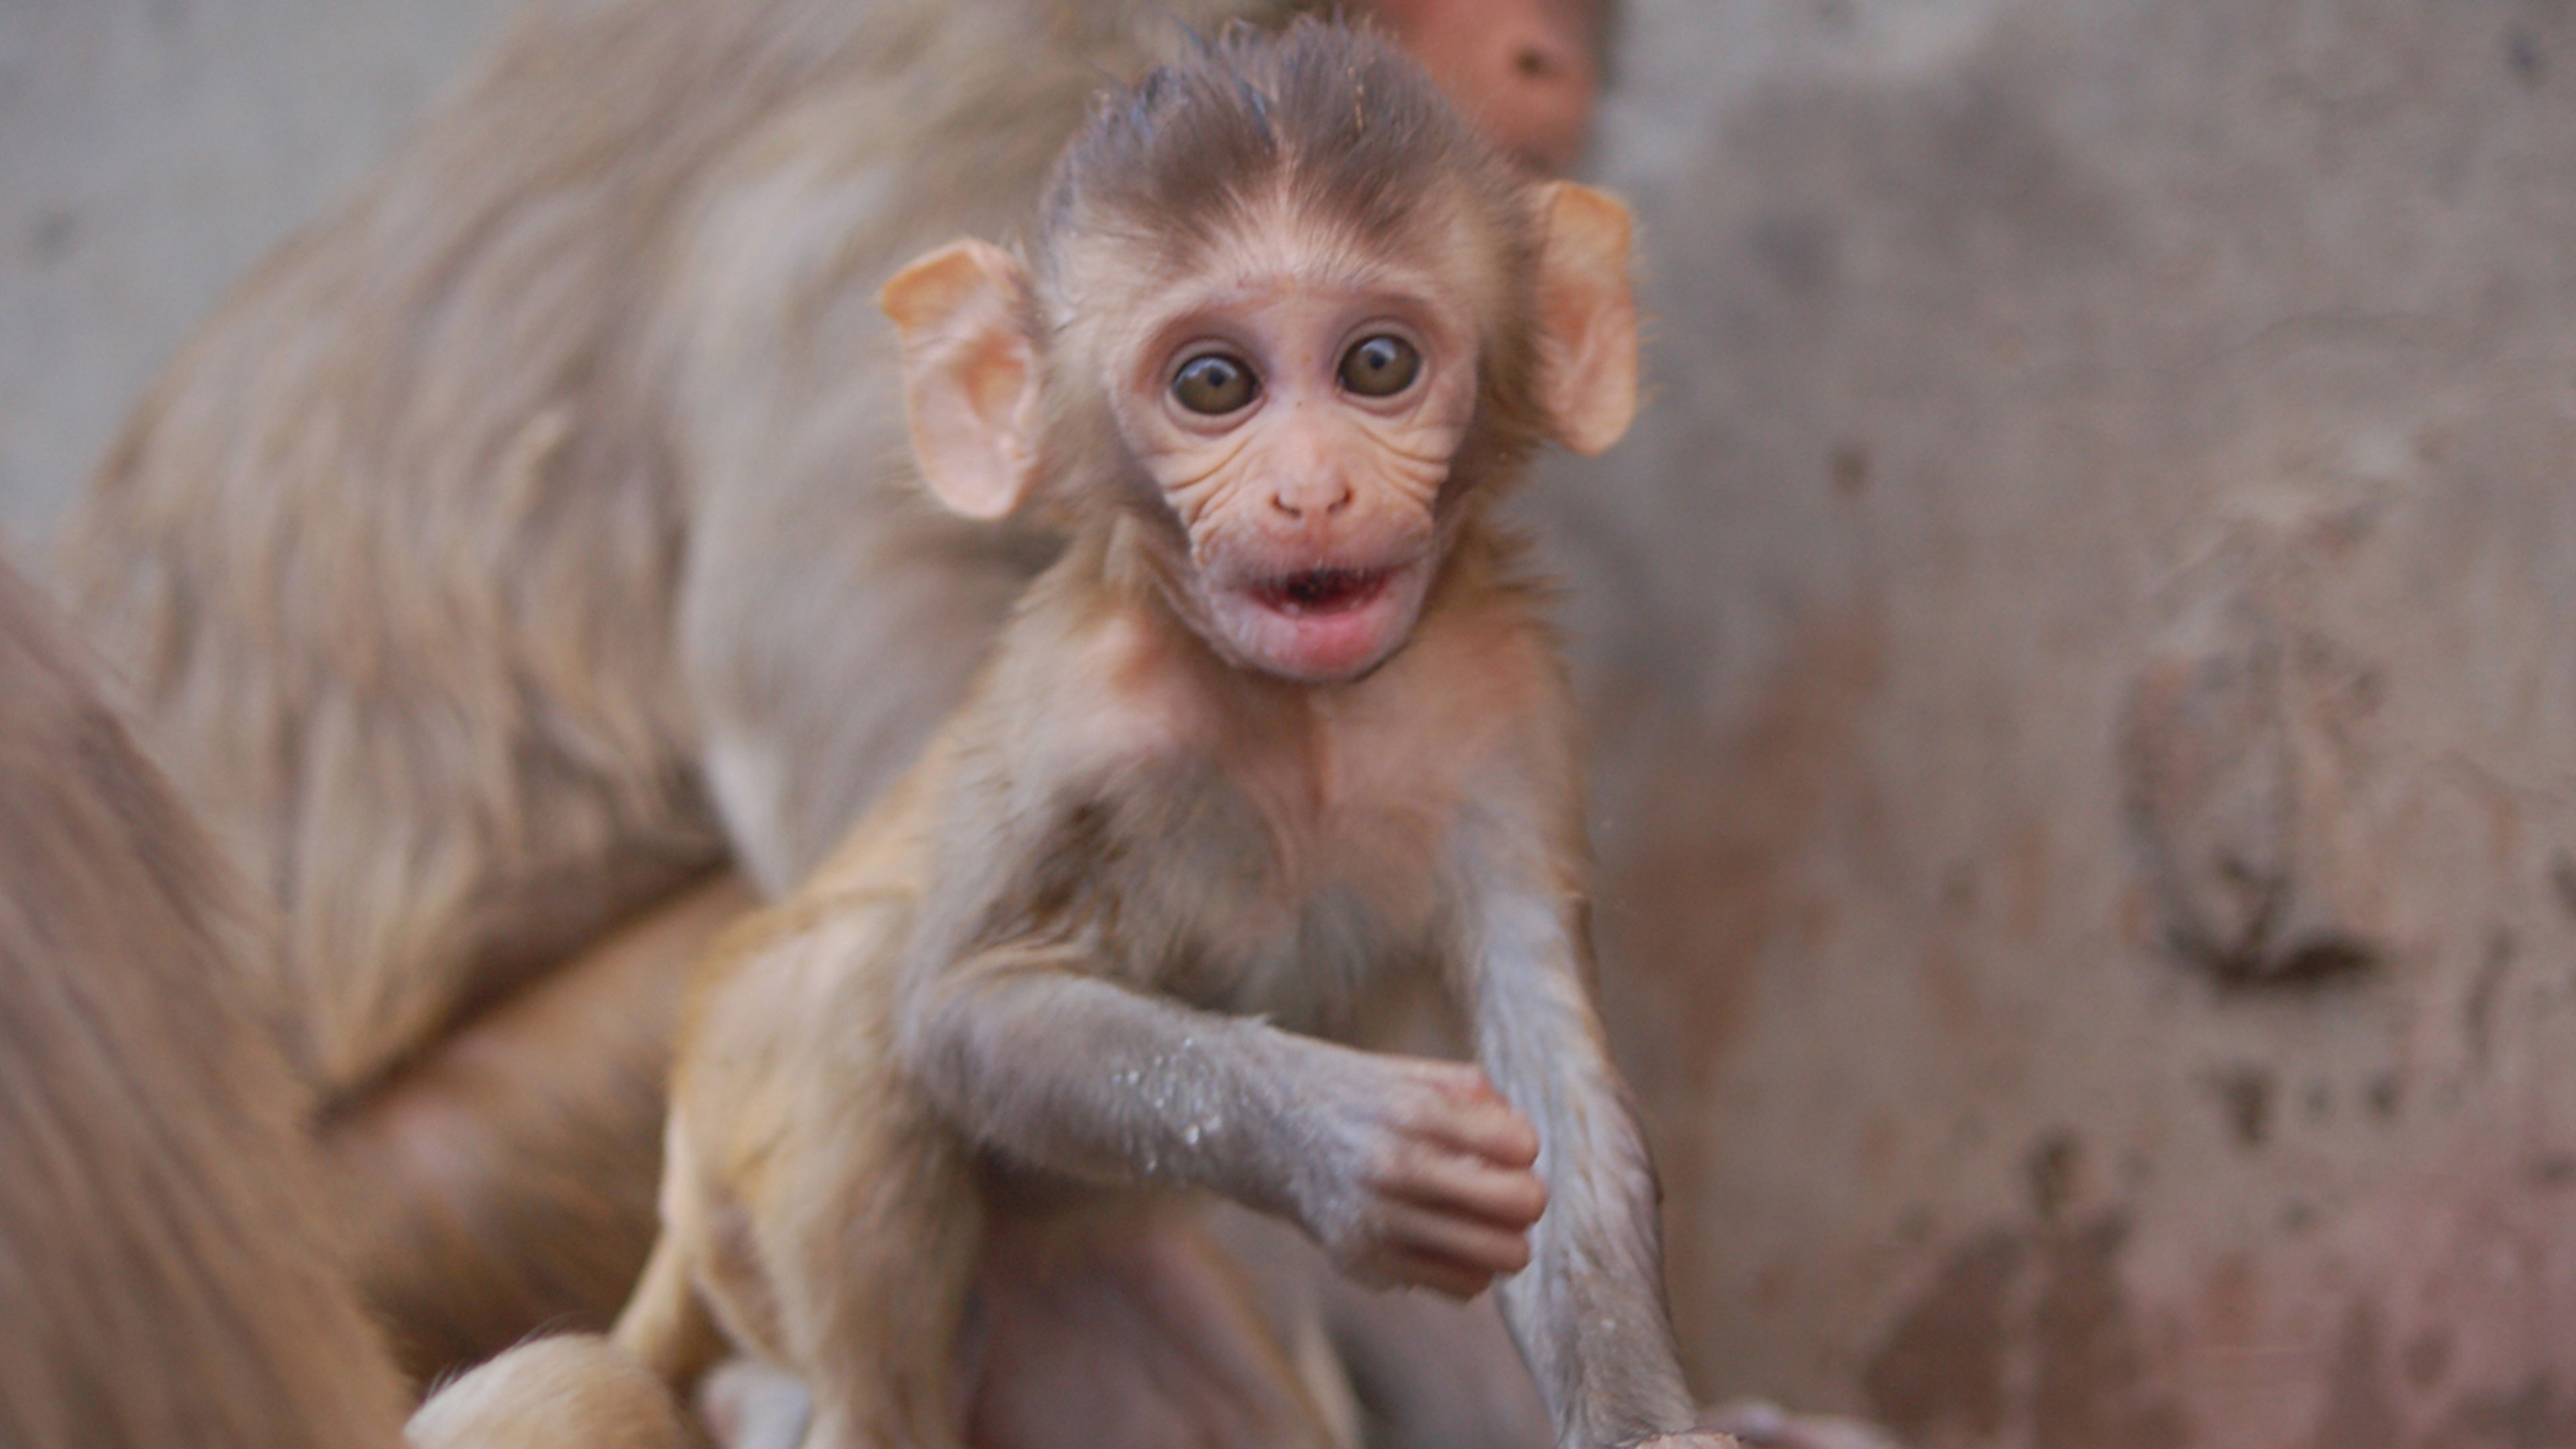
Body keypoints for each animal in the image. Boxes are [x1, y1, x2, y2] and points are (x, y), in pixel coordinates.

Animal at [570, 24, 1724, 1449]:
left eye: (1378, 366)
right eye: (1214, 384)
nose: (1311, 491)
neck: (1306, 716)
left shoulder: (1505, 708)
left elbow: (1565, 1107)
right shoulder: (1086, 724)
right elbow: (963, 1013)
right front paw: (1353, 1151)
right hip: (735, 1140)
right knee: (848, 997)